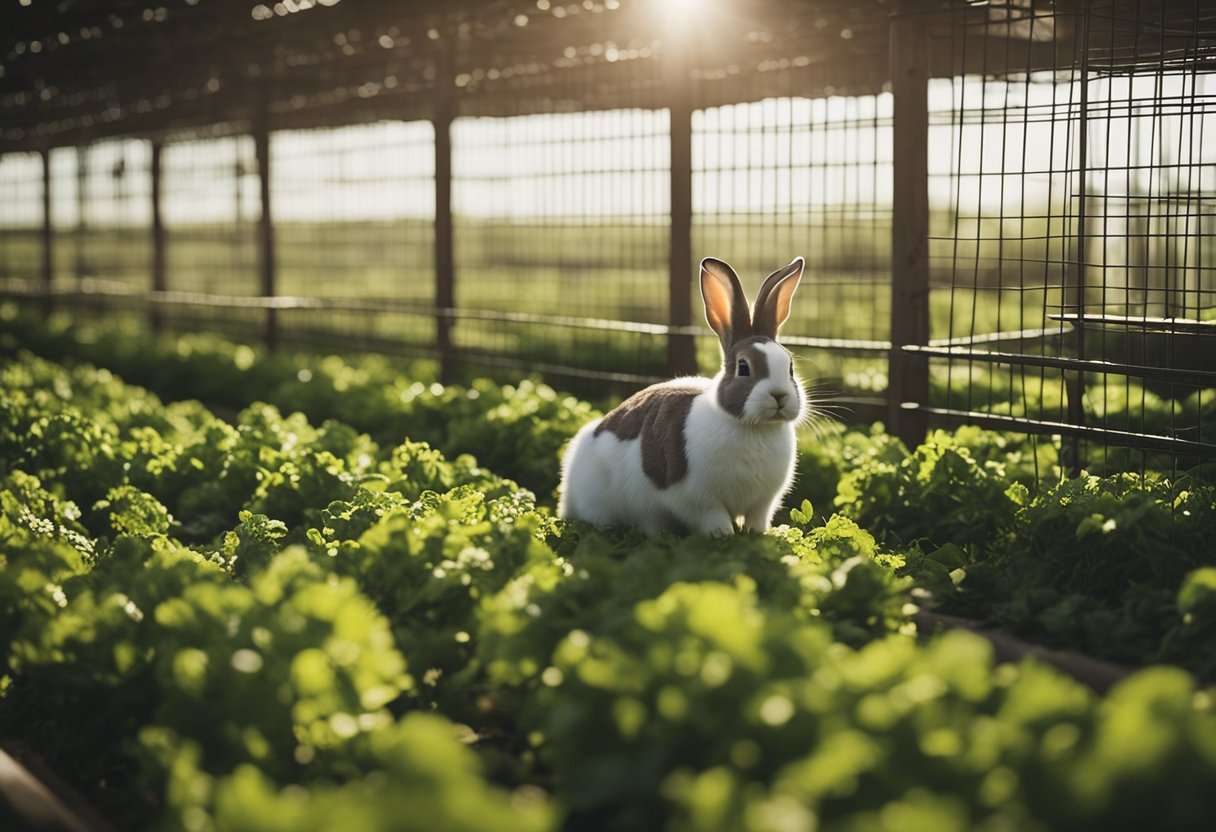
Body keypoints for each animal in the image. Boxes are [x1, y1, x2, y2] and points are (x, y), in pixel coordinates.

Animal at [558, 256, 807, 535]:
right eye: (743, 368)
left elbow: (756, 519)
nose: (780, 396)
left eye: (790, 367)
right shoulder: (697, 499)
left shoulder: (763, 502)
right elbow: (713, 518)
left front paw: (757, 535)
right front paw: (723, 535)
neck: (752, 428)